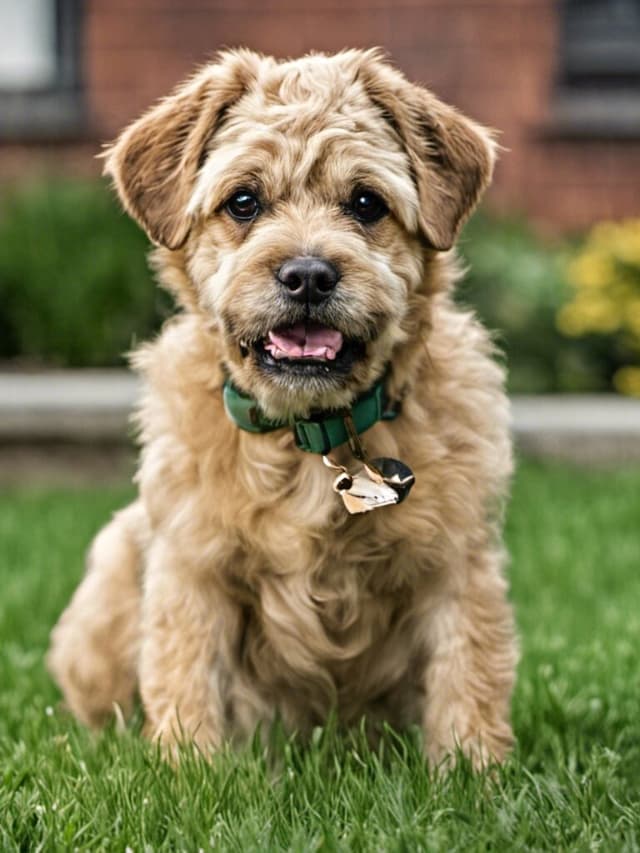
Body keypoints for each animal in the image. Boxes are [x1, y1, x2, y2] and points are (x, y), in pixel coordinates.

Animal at [47, 48, 516, 764]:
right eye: (244, 200)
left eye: (365, 202)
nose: (309, 275)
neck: (314, 439)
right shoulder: (191, 566)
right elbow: (185, 677)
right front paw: (188, 771)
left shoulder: (457, 565)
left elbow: (469, 676)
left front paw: (473, 773)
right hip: (112, 575)